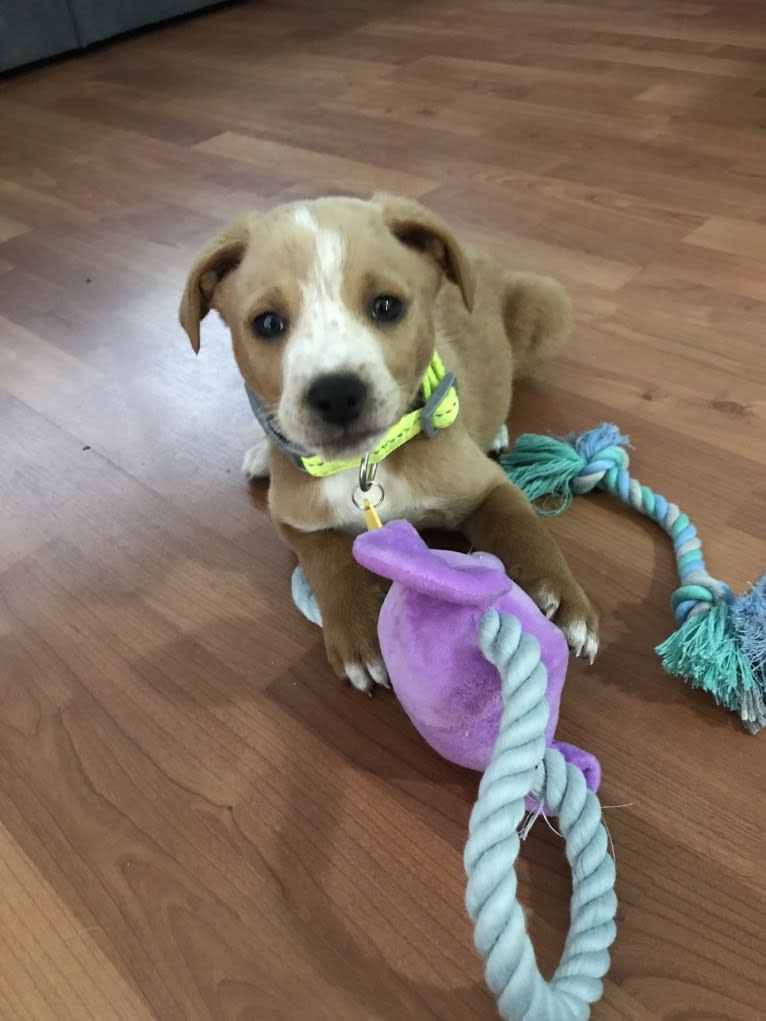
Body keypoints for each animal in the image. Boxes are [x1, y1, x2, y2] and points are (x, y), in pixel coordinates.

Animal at [181, 193, 600, 694]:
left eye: (386, 306)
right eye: (266, 323)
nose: (336, 392)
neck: (366, 462)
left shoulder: (488, 487)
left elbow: (524, 529)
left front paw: (560, 598)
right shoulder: (294, 520)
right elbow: (329, 560)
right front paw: (359, 630)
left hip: (548, 305)